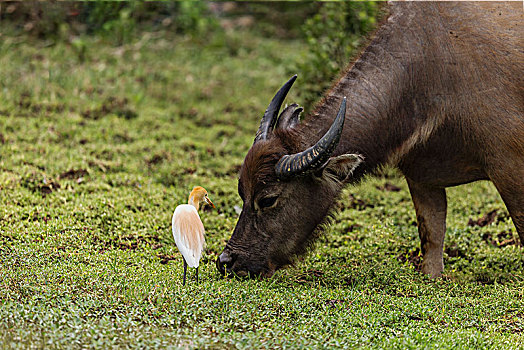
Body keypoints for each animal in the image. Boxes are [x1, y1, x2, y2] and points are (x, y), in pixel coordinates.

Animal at [216, 1, 524, 278]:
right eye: (242, 193)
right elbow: (432, 237)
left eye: (268, 199)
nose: (226, 261)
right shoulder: (421, 177)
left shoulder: (509, 168)